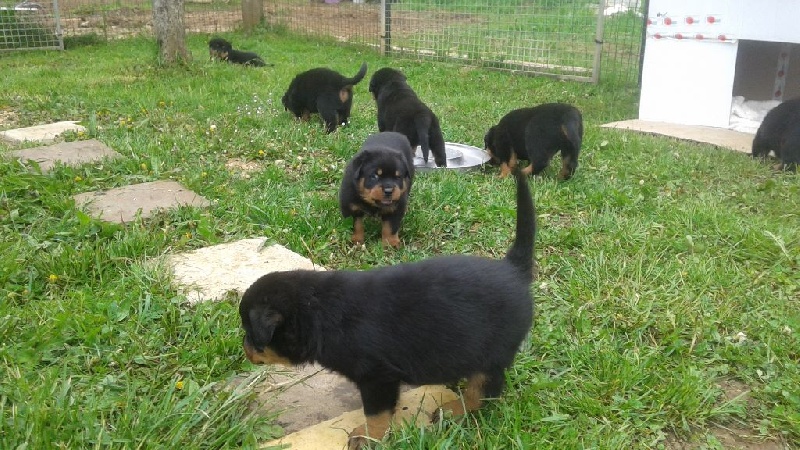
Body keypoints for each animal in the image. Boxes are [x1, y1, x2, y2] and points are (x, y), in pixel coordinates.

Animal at [239, 170, 536, 450]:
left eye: (250, 333)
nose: (245, 348)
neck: (318, 310)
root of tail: (513, 269)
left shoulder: (377, 377)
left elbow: (376, 414)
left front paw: (367, 437)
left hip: (491, 353)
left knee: (483, 390)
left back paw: (454, 411)